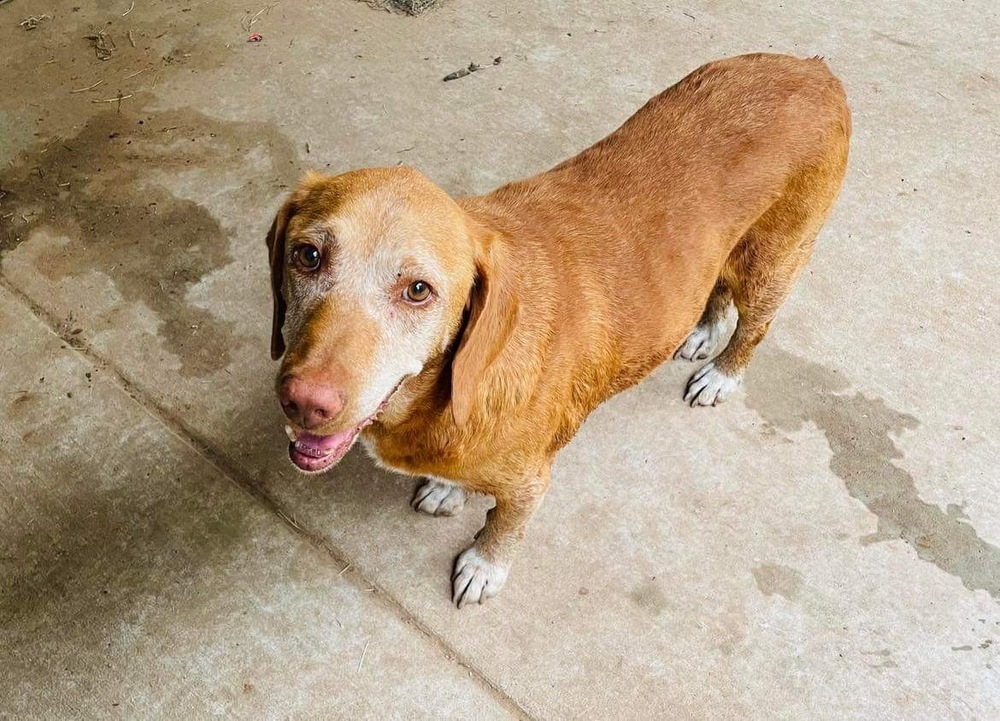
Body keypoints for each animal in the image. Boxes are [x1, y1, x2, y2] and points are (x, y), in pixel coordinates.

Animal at [268, 53, 852, 608]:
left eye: (418, 290)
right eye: (308, 255)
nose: (305, 402)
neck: (446, 392)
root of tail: (813, 70)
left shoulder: (530, 484)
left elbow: (505, 526)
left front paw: (484, 566)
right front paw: (446, 488)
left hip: (773, 264)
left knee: (755, 326)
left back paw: (722, 372)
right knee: (719, 288)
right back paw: (705, 331)